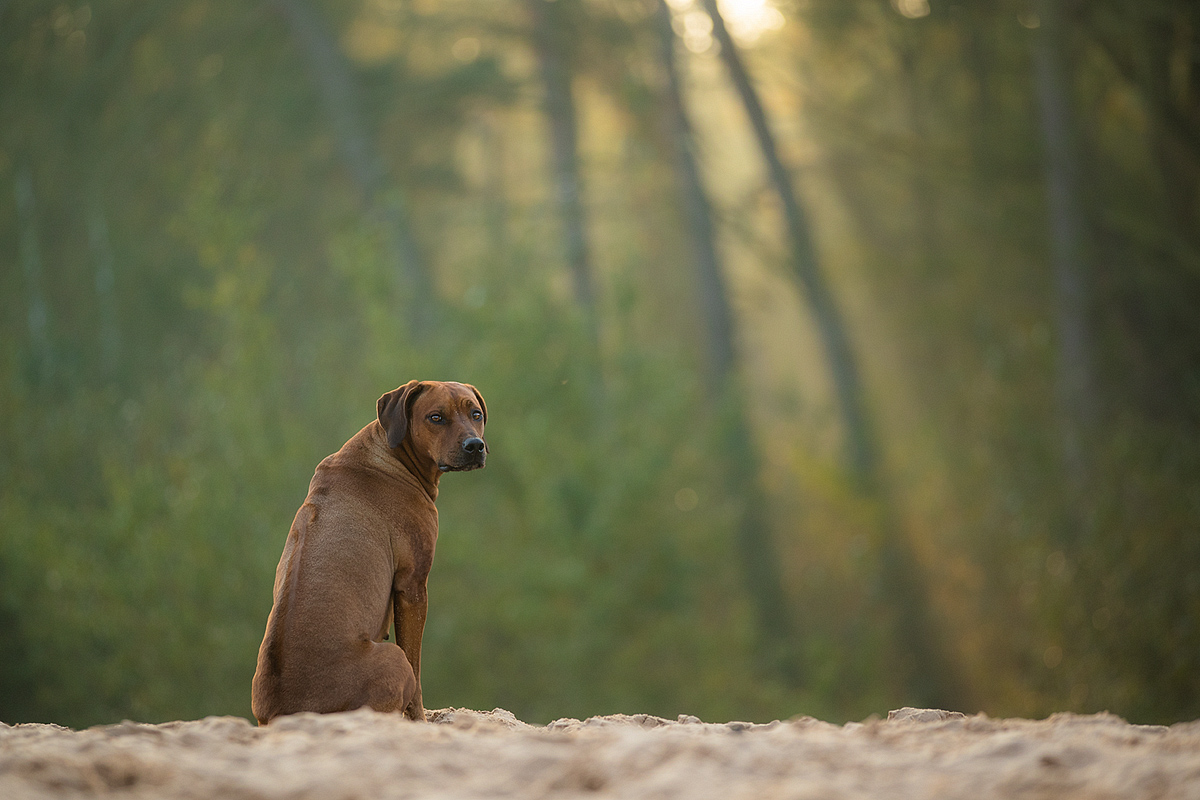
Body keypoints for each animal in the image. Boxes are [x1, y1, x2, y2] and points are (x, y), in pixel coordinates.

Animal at [249, 379, 487, 724]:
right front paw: (420, 718)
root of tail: (285, 712)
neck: (391, 456)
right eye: (436, 417)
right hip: (392, 657)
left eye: (475, 413)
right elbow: (416, 668)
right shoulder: (412, 585)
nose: (475, 445)